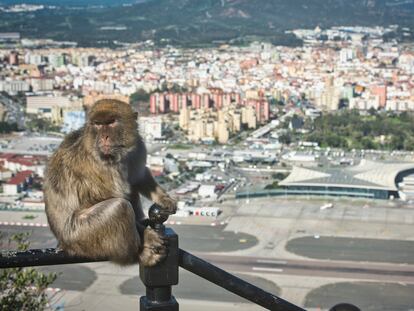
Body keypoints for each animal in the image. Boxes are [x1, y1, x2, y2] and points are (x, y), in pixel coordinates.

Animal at [45, 99, 176, 266]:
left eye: (111, 122)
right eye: (98, 124)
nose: (104, 137)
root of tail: (62, 243)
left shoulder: (138, 147)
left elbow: (139, 176)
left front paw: (165, 199)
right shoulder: (98, 166)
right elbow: (109, 198)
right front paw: (148, 236)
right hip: (81, 235)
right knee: (119, 207)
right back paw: (141, 255)